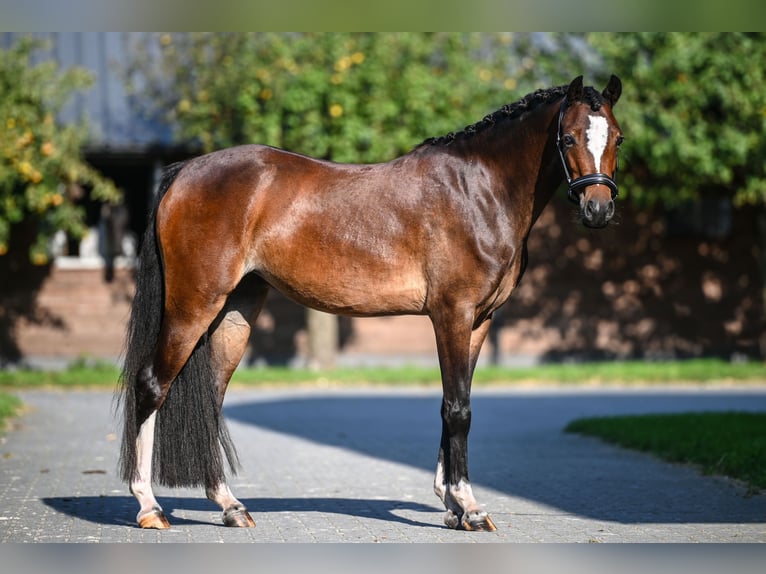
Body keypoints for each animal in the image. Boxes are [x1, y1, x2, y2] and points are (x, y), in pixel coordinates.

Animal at [118, 74, 624, 532]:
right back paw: (149, 507)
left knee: (211, 398)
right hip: (193, 304)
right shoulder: (452, 314)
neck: (478, 190)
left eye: (616, 137)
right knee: (151, 385)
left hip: (234, 313)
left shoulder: (479, 321)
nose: (598, 210)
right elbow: (458, 408)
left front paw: (452, 506)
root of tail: (185, 172)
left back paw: (230, 506)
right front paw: (470, 507)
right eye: (569, 137)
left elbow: (454, 402)